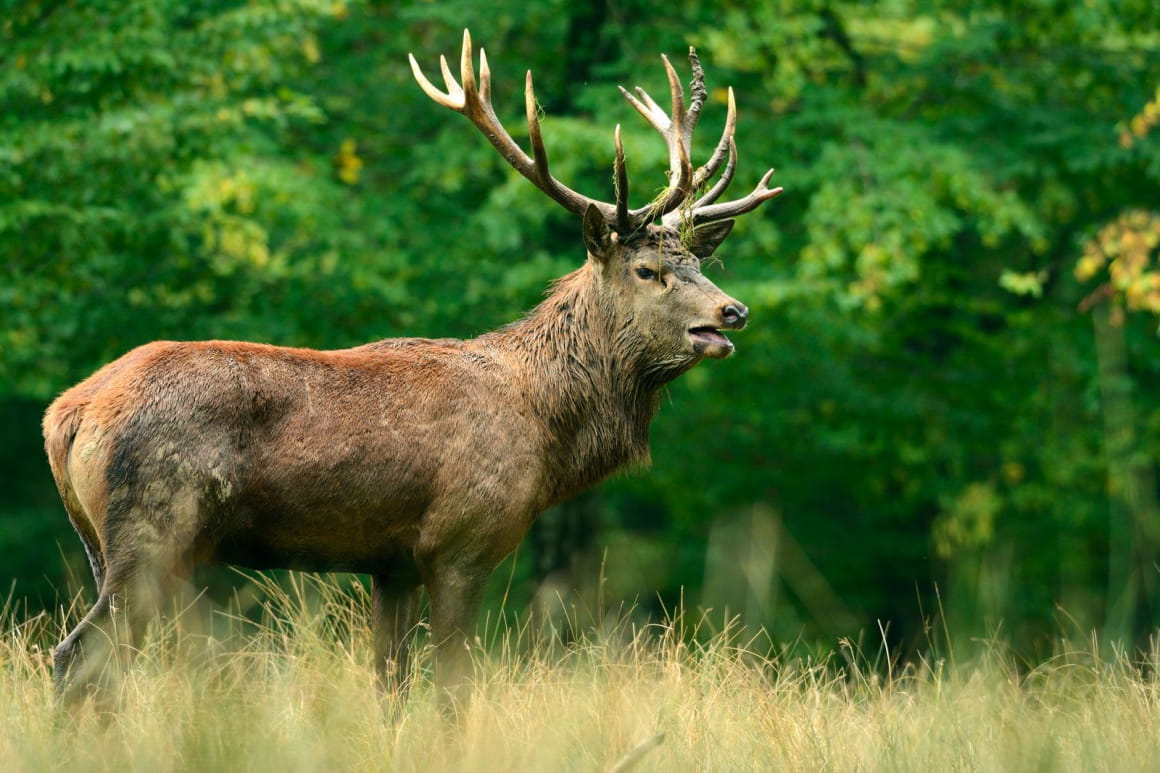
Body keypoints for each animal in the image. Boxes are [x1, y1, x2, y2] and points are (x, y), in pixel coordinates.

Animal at [42, 30, 782, 705]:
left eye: (700, 262)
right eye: (648, 269)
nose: (733, 312)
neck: (548, 434)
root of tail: (67, 414)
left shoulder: (389, 562)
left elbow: (390, 688)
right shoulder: (460, 542)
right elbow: (452, 689)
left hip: (102, 542)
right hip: (154, 527)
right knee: (78, 657)